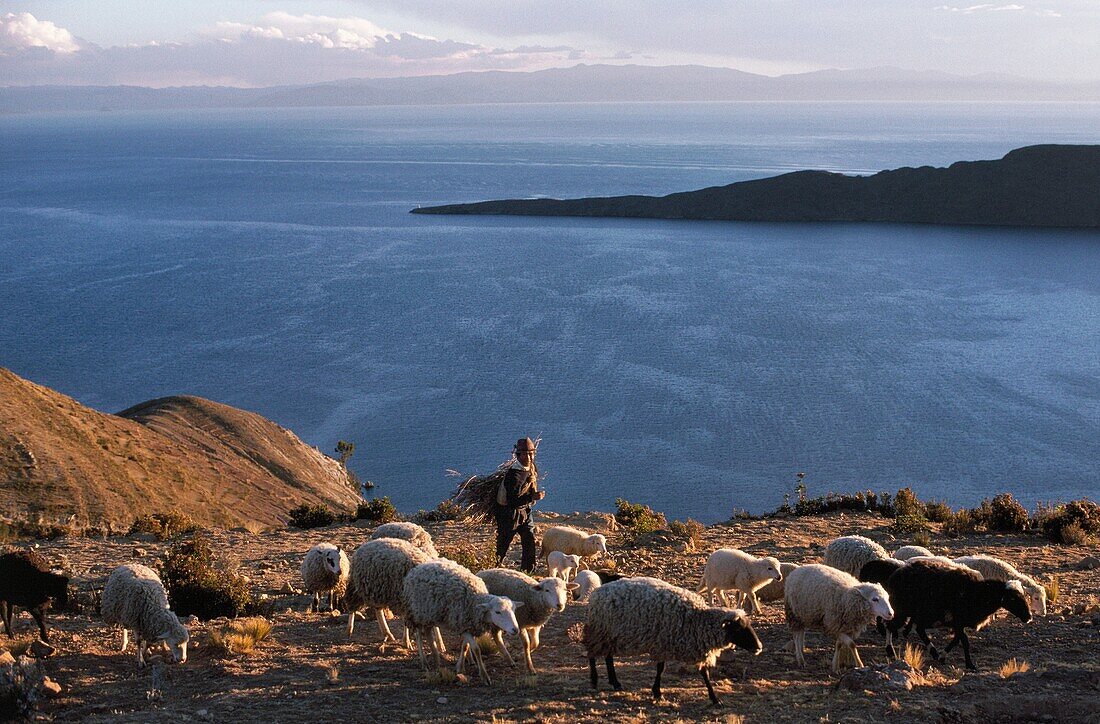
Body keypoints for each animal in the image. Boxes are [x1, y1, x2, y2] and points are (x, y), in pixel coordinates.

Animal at [404, 552, 523, 682]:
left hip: (429, 615)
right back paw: (424, 662)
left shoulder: (467, 626)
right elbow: (476, 649)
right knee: (419, 636)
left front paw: (460, 667)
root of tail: (417, 568)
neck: (474, 601)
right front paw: (484, 675)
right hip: (418, 613)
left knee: (428, 633)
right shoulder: (462, 624)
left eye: (513, 610)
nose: (515, 629)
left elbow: (465, 646)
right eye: (497, 612)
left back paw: (436, 658)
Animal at [589, 572, 761, 704]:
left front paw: (714, 698)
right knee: (592, 655)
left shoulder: (693, 645)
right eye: (738, 629)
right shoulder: (662, 644)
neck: (697, 620)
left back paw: (615, 682)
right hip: (599, 631)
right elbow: (661, 668)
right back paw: (594, 681)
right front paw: (657, 692)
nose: (759, 647)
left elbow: (704, 673)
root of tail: (597, 593)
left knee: (608, 657)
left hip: (609, 635)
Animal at [880, 554, 1034, 668]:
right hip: (902, 609)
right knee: (890, 626)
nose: (1029, 617)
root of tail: (896, 574)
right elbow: (964, 641)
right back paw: (890, 650)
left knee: (919, 630)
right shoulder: (957, 621)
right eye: (1013, 598)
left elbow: (956, 640)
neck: (978, 593)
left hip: (922, 614)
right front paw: (970, 664)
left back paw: (933, 652)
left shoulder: (958, 623)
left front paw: (943, 656)